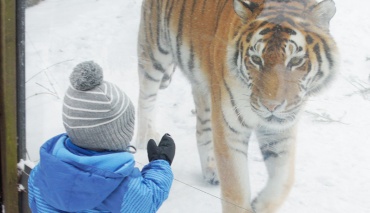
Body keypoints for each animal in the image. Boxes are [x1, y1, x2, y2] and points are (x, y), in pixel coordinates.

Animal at [135, 0, 338, 212]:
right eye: (256, 59)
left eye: (296, 61)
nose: (270, 106)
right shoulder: (230, 129)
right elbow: (236, 189)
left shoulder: (280, 132)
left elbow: (284, 180)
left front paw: (259, 205)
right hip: (155, 52)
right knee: (146, 97)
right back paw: (146, 136)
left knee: (202, 127)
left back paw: (210, 169)